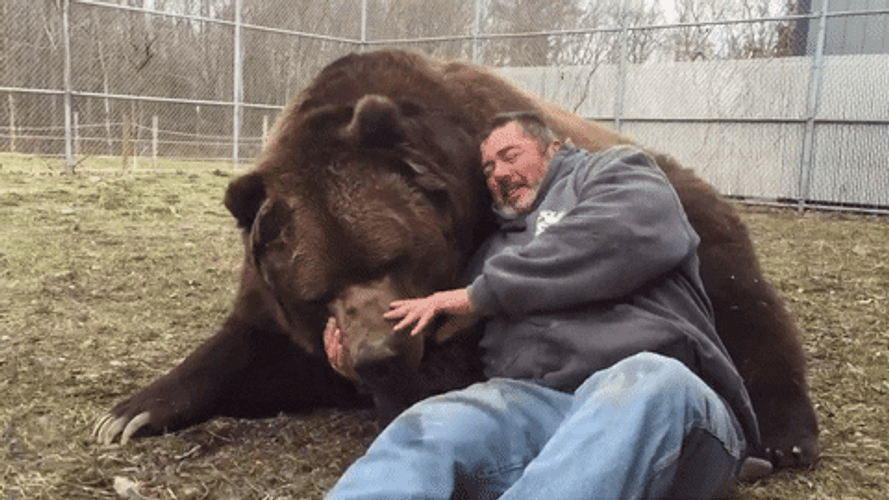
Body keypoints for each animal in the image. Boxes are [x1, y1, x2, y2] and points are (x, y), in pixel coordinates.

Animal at [94, 49, 818, 472]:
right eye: (316, 291)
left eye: (394, 256)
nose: (376, 354)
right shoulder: (273, 289)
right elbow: (250, 351)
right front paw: (126, 414)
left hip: (697, 220)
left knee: (745, 304)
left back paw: (786, 433)